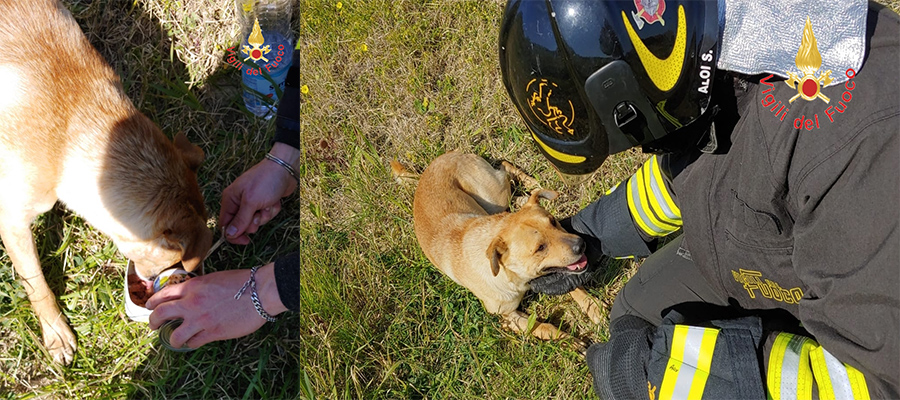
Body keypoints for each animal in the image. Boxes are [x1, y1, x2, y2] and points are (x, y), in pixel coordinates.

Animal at [414, 153, 596, 350]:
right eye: (540, 248)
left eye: (553, 222)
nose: (581, 244)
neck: (512, 276)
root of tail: (446, 155)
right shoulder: (508, 318)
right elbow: (544, 327)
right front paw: (569, 342)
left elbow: (575, 288)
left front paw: (595, 309)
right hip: (495, 199)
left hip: (496, 198)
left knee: (504, 166)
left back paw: (532, 184)